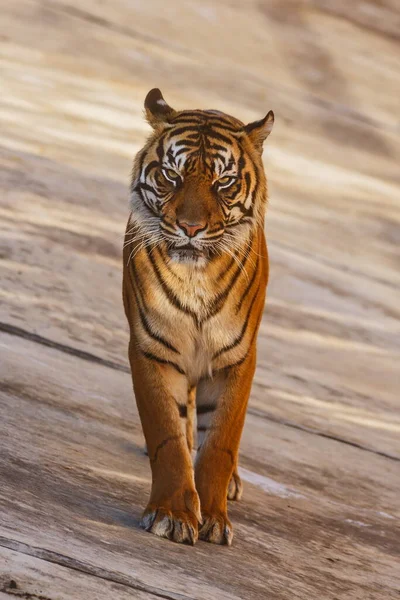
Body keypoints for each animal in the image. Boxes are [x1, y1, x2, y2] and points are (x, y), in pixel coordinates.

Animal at [123, 88, 274, 544]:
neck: (196, 276)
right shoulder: (151, 349)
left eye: (223, 182)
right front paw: (171, 513)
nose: (190, 228)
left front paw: (215, 518)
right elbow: (167, 436)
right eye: (172, 176)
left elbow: (221, 442)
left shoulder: (237, 359)